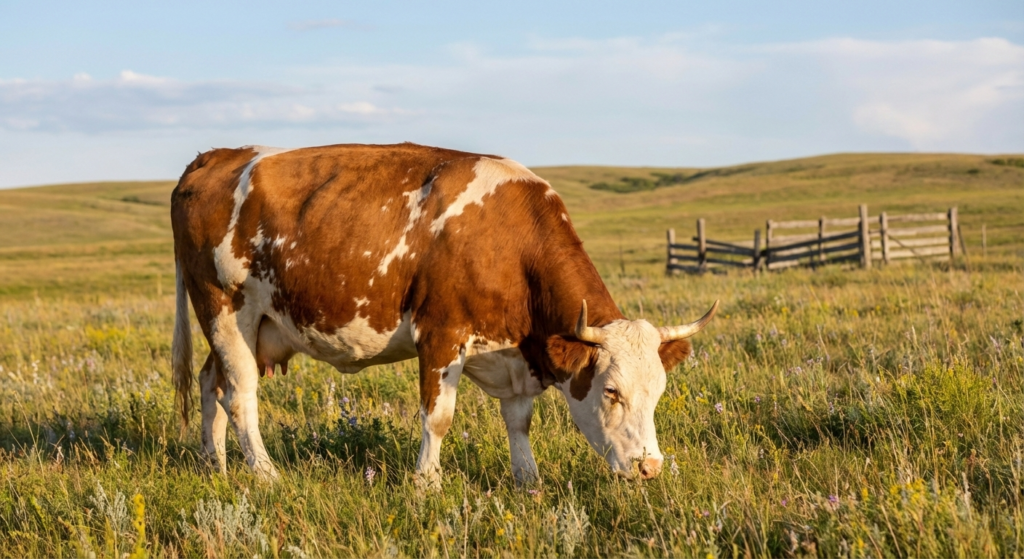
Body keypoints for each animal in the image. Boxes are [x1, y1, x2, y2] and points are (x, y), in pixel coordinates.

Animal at [170, 142, 717, 486]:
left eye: (658, 392)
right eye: (611, 392)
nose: (650, 468)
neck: (508, 241)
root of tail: (214, 157)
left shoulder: (516, 355)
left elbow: (519, 421)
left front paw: (529, 481)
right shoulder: (440, 334)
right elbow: (438, 418)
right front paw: (427, 483)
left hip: (247, 327)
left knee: (211, 383)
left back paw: (215, 466)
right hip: (225, 309)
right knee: (240, 394)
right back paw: (265, 474)